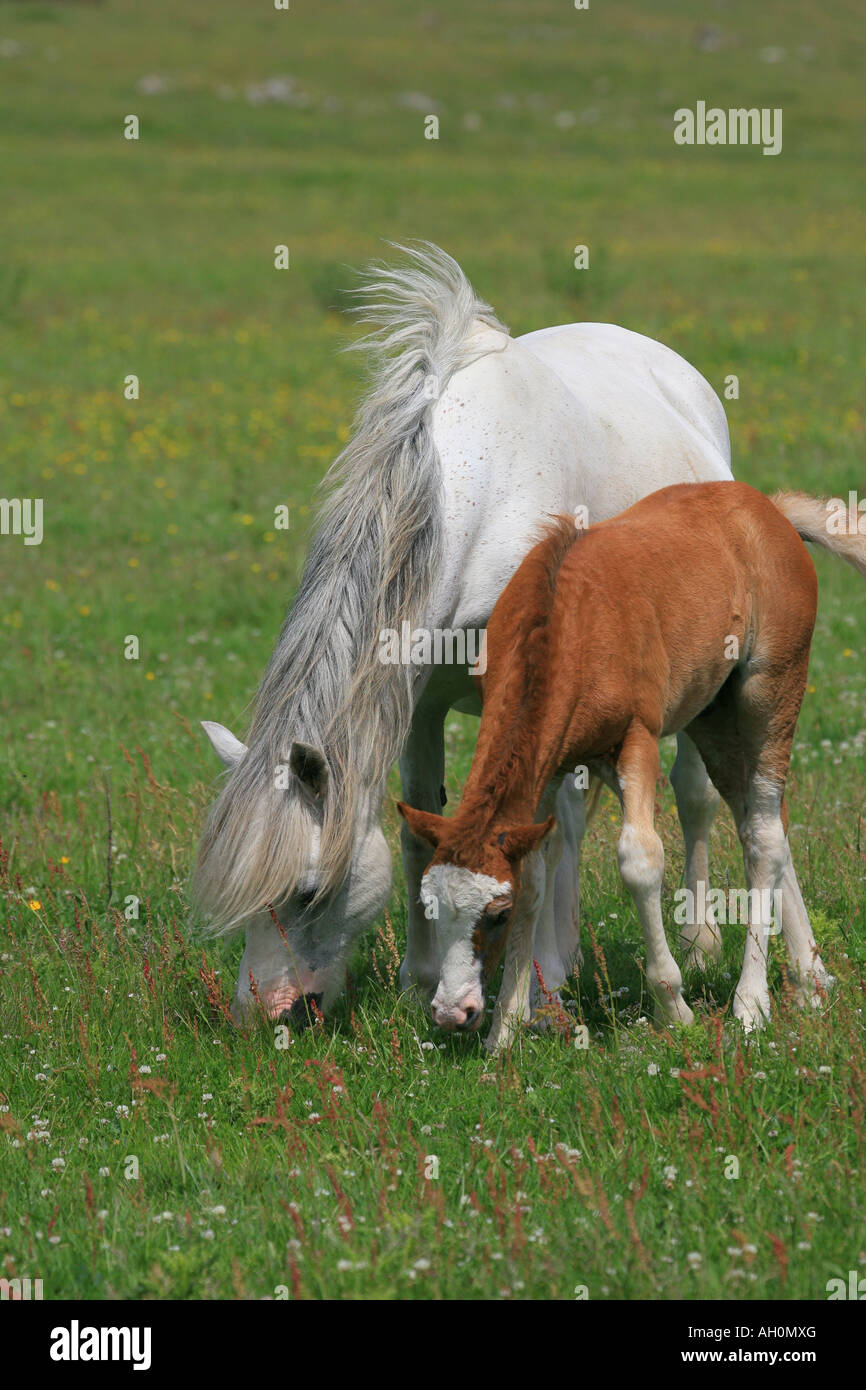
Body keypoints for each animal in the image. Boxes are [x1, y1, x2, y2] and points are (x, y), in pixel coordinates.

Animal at [195, 244, 739, 1028]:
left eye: (305, 891)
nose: (260, 1013)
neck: (472, 504)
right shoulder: (417, 698)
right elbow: (420, 825)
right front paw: (421, 976)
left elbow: (536, 839)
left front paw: (527, 992)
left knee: (690, 795)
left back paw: (689, 946)